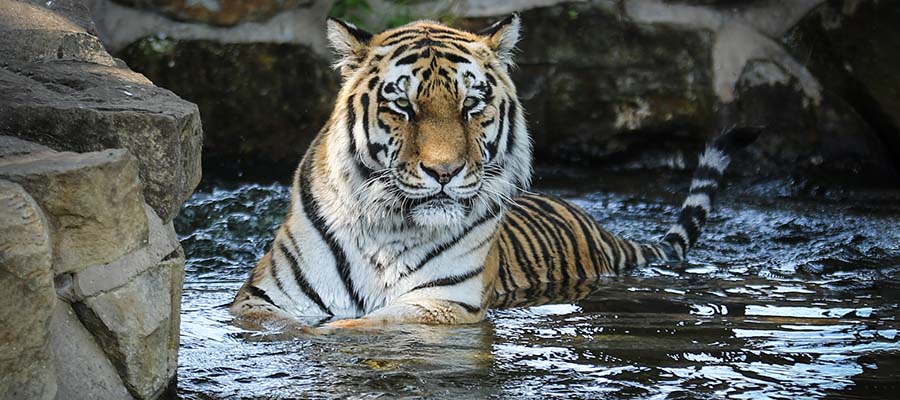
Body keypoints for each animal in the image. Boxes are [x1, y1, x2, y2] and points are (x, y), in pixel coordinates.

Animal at [227, 14, 760, 328]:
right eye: (403, 106)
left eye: (471, 106)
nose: (443, 171)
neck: (387, 230)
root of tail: (600, 229)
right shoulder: (265, 301)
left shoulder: (443, 304)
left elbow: (365, 326)